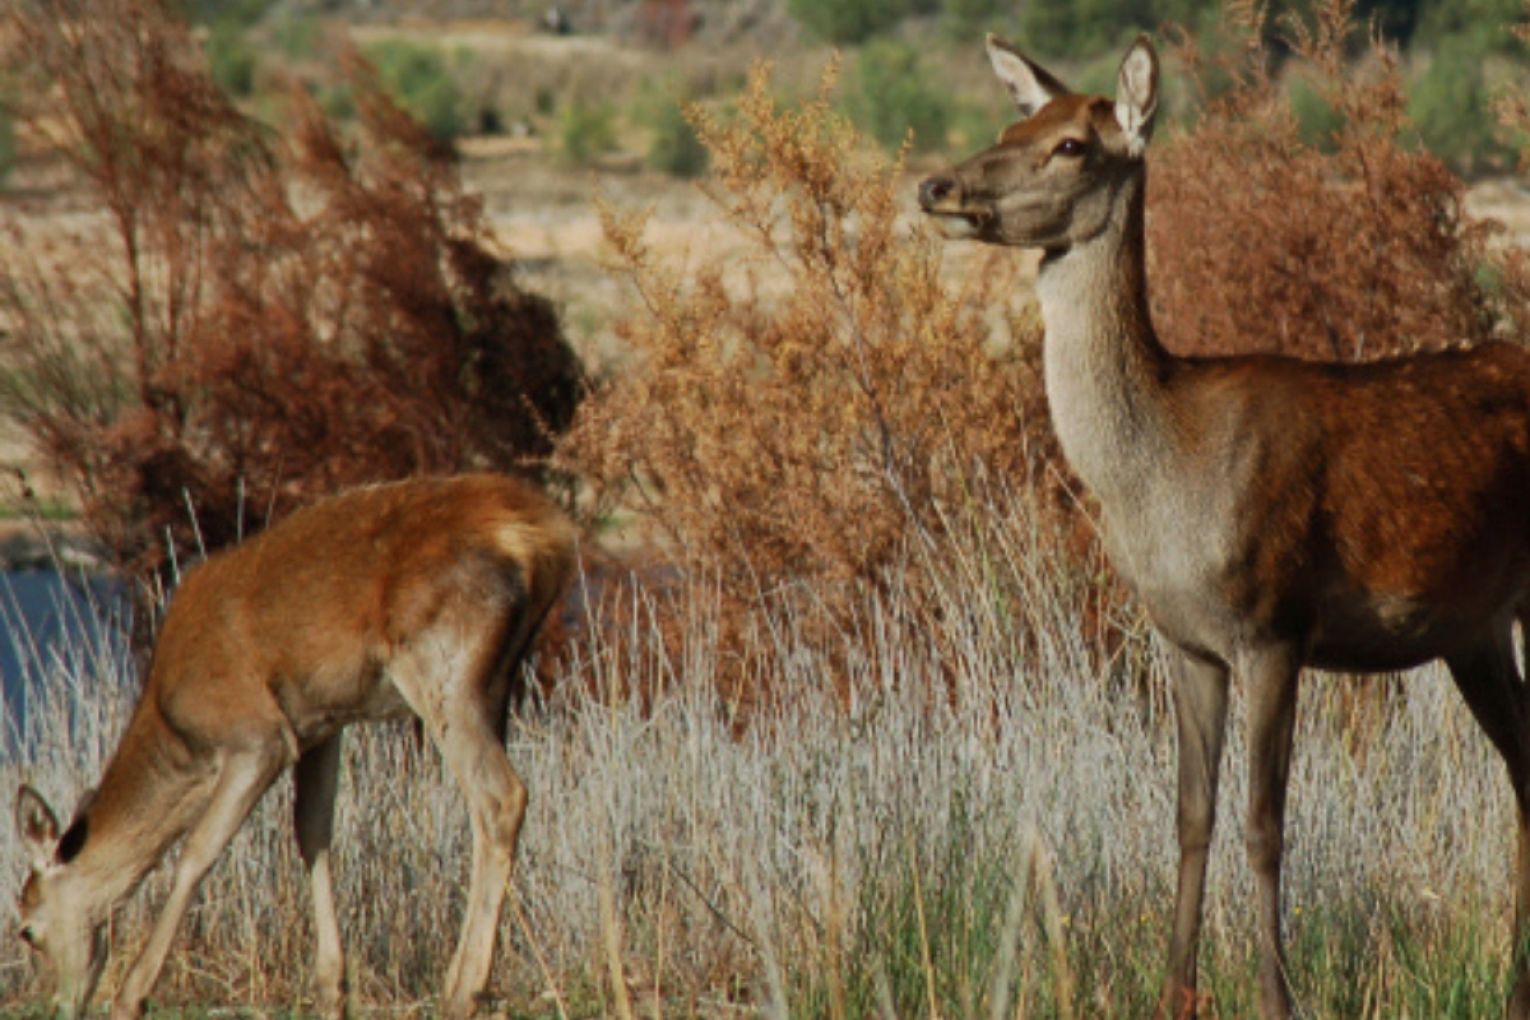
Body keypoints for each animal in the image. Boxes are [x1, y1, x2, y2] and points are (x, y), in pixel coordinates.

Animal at [12, 473, 575, 1020]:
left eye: (27, 929)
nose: (58, 1004)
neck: (180, 728)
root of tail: (546, 538)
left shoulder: (256, 736)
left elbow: (199, 851)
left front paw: (131, 996)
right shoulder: (320, 725)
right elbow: (312, 832)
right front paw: (332, 991)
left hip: (439, 665)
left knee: (500, 796)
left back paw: (461, 993)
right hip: (497, 681)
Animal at [919, 33, 1530, 1020]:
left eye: (1071, 146)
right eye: (1012, 125)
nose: (935, 186)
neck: (1163, 479)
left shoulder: (1275, 624)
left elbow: (1264, 822)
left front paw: (1278, 997)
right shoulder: (1183, 640)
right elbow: (1191, 815)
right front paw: (1176, 992)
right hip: (1473, 629)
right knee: (1524, 765)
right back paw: (1513, 986)